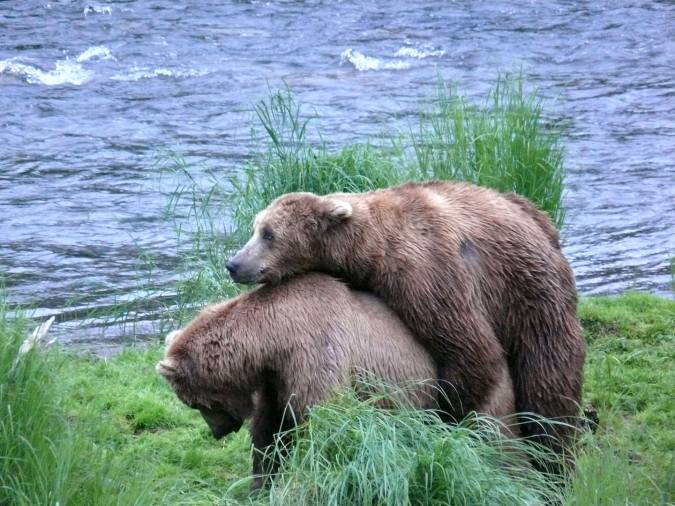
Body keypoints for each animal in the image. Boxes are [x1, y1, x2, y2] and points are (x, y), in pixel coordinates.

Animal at [156, 273, 518, 489]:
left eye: (195, 402)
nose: (218, 431)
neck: (272, 339)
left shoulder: (316, 352)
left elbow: (326, 426)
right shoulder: (277, 379)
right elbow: (271, 433)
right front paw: (260, 484)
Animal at [226, 180, 586, 470]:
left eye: (268, 234)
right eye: (255, 227)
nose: (234, 263)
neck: (371, 250)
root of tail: (542, 222)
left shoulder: (426, 273)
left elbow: (471, 349)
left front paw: (444, 416)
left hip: (530, 294)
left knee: (547, 383)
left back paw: (552, 459)